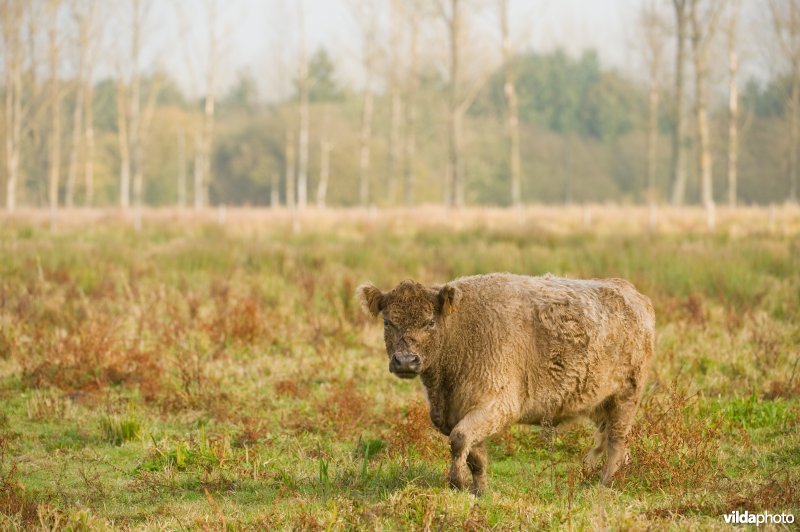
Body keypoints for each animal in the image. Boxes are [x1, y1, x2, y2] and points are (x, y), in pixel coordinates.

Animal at [360, 274, 652, 494]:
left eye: (429, 322)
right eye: (388, 322)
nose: (405, 361)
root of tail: (631, 293)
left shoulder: (498, 405)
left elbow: (459, 440)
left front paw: (457, 482)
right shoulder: (460, 413)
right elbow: (474, 454)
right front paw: (479, 490)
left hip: (626, 397)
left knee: (617, 442)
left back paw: (604, 485)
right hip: (600, 404)